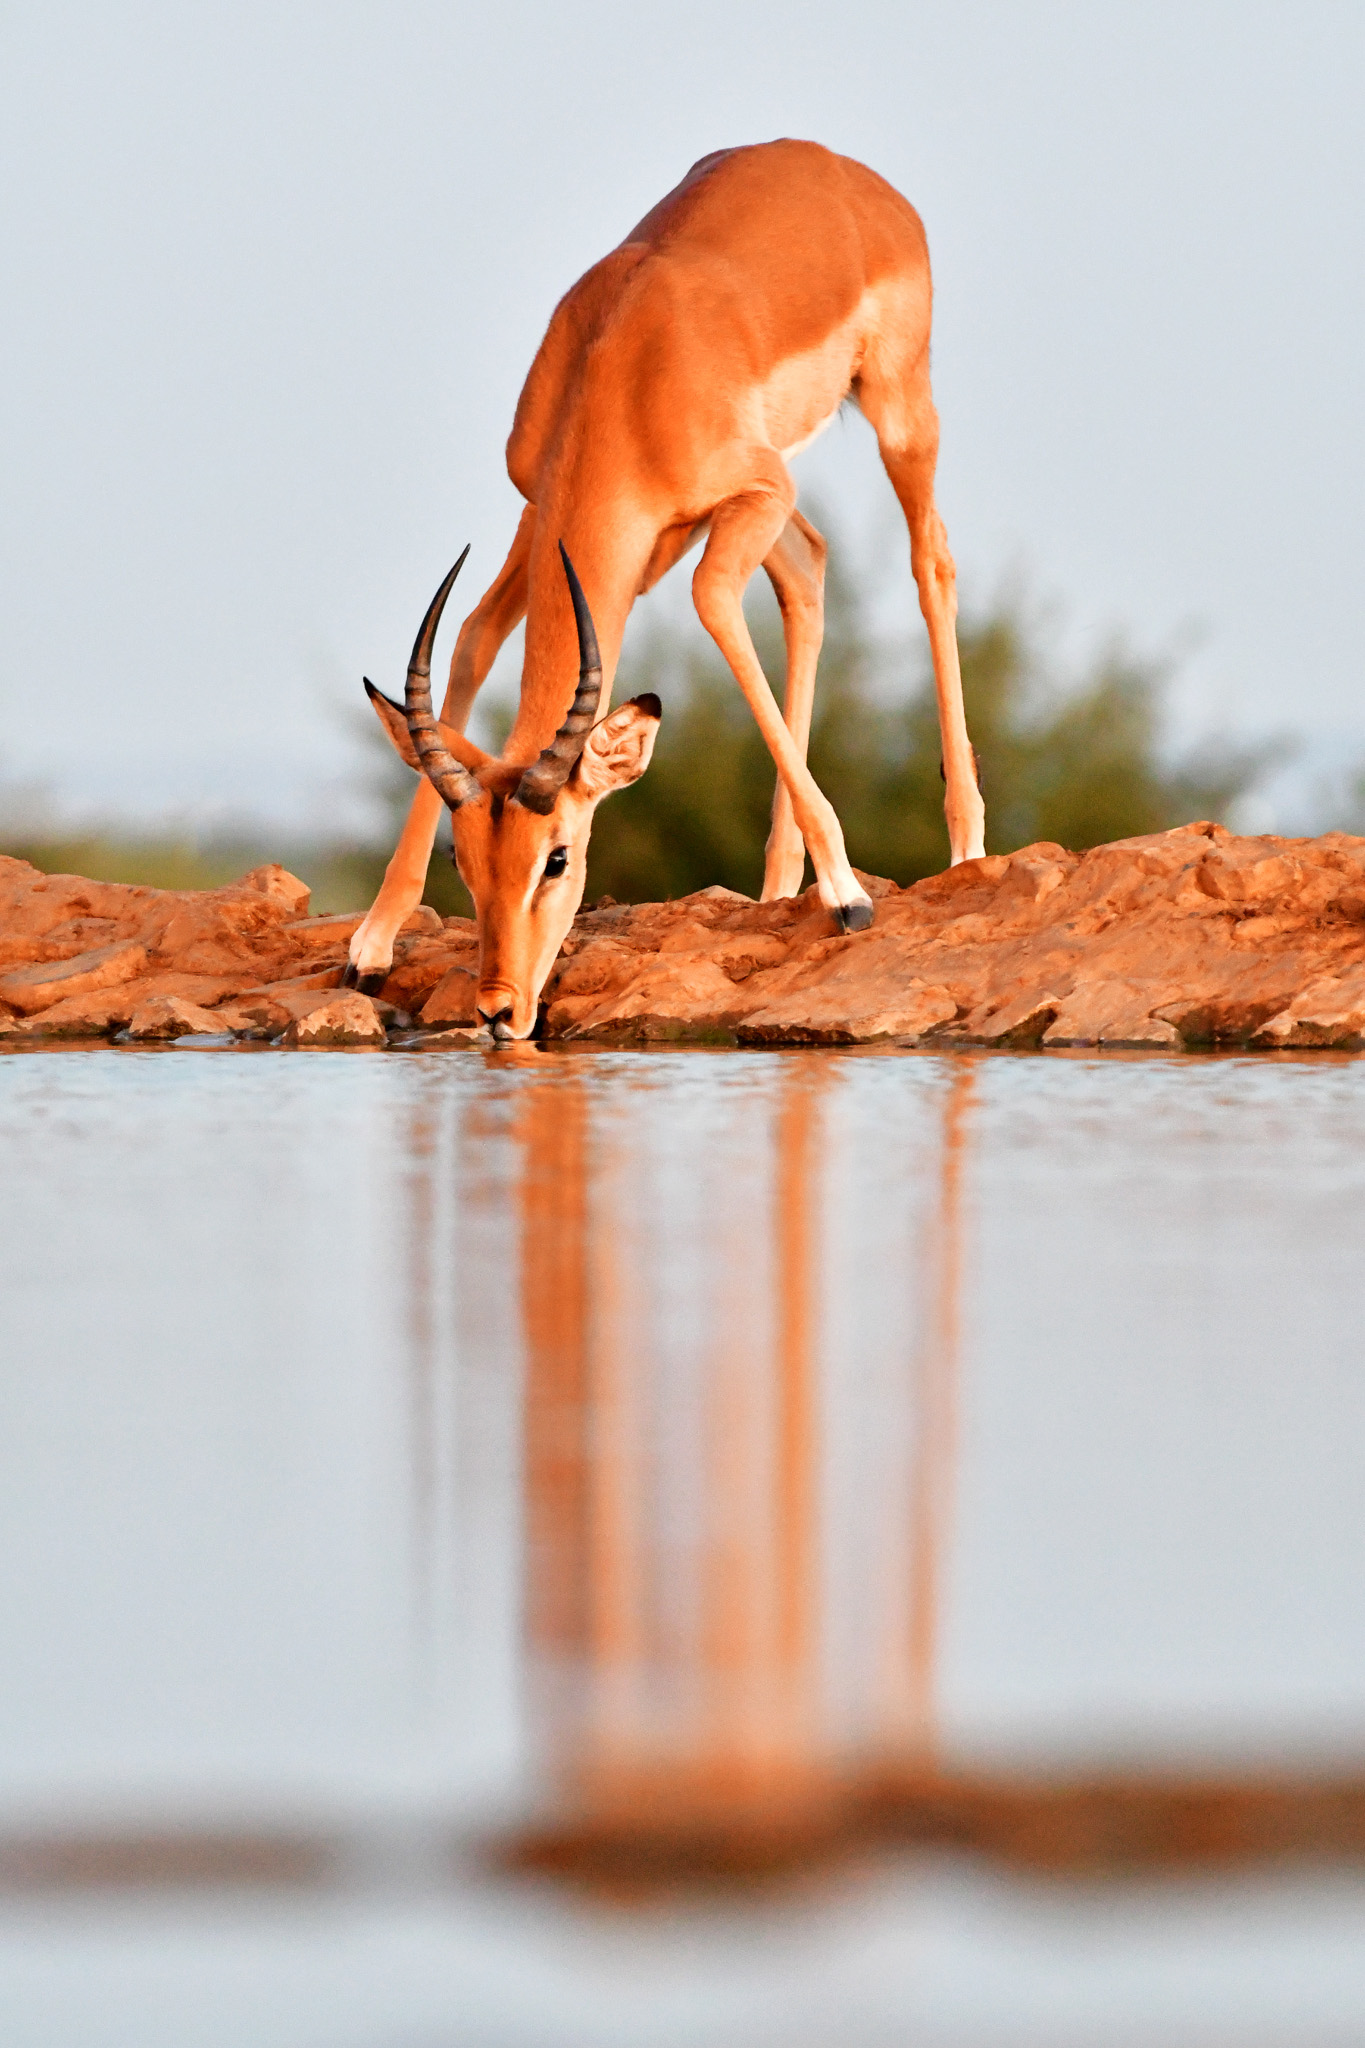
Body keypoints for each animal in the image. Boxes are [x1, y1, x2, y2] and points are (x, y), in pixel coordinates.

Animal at [349, 138, 984, 1040]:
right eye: (461, 857)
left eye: (557, 858)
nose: (500, 1010)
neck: (626, 366)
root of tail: (834, 165)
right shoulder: (545, 511)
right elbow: (473, 635)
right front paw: (369, 946)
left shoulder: (754, 491)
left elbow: (712, 601)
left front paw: (850, 895)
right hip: (766, 502)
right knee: (810, 567)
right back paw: (775, 888)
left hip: (893, 413)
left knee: (930, 561)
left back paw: (963, 849)